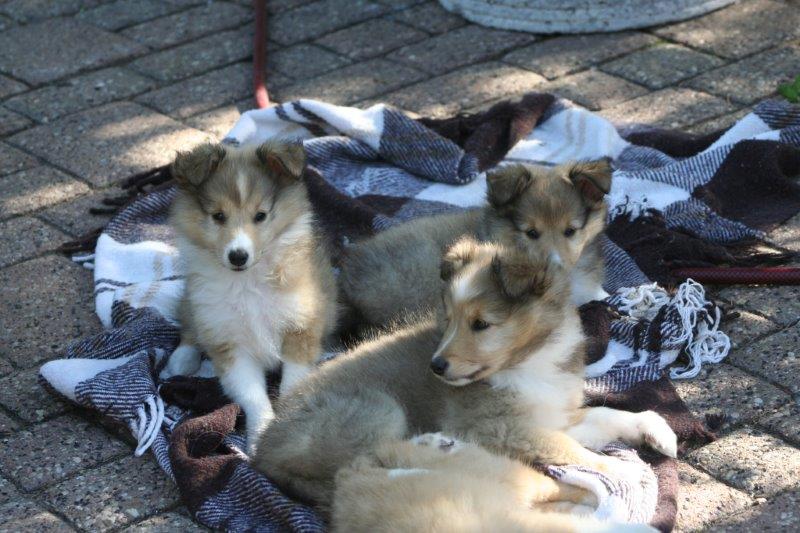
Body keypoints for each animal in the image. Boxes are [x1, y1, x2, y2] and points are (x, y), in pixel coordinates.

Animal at [160, 141, 338, 448]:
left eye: (260, 215)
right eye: (218, 216)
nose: (238, 256)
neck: (247, 281)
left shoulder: (301, 330)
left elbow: (292, 386)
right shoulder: (229, 343)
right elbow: (253, 395)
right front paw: (259, 436)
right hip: (196, 306)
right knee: (189, 323)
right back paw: (181, 360)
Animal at [254, 238, 676, 510]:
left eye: (481, 324)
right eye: (449, 317)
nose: (436, 366)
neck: (529, 363)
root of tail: (261, 451)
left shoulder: (552, 415)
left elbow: (608, 415)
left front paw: (657, 431)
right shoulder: (500, 427)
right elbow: (574, 451)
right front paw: (622, 471)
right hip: (379, 409)